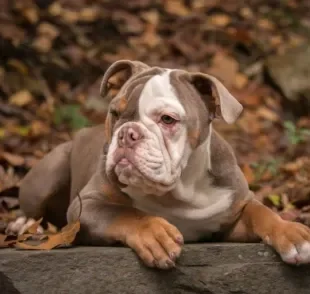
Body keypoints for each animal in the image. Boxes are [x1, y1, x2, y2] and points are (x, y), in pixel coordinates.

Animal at [18, 59, 308, 268]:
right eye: (115, 113)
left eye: (168, 119)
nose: (128, 133)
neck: (177, 192)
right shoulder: (86, 205)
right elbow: (124, 213)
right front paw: (154, 233)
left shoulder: (233, 214)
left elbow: (262, 212)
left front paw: (291, 233)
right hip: (51, 169)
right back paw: (22, 224)